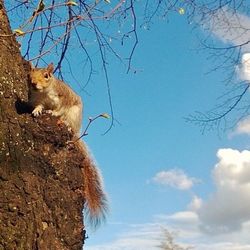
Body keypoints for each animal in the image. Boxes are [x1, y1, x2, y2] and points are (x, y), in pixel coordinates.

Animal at [28, 63, 107, 229]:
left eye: (46, 75)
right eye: (29, 74)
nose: (33, 83)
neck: (44, 93)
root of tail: (77, 132)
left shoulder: (64, 98)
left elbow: (60, 109)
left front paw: (52, 112)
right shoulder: (37, 99)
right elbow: (39, 105)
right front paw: (37, 110)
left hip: (74, 115)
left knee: (68, 121)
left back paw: (66, 124)